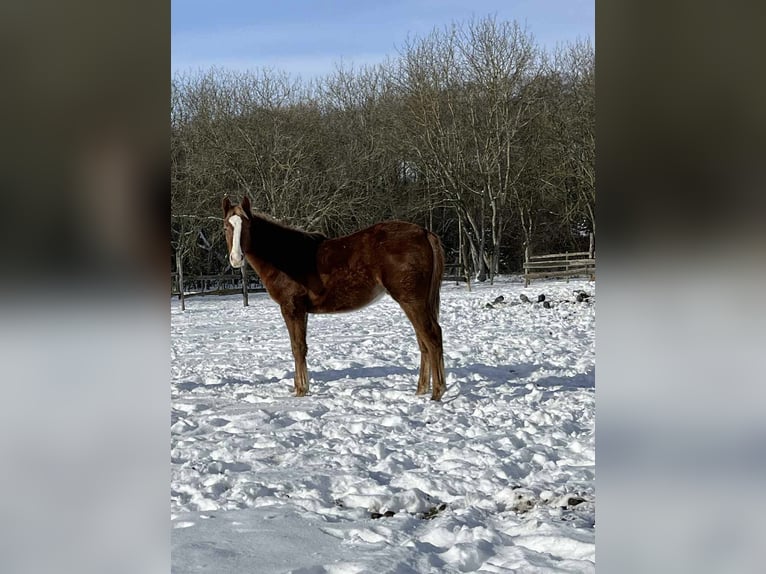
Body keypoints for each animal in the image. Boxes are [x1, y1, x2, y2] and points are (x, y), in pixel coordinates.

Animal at [222, 196, 446, 401]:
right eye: (226, 227)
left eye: (247, 226)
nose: (236, 258)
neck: (285, 257)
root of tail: (424, 233)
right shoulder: (303, 311)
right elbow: (302, 347)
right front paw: (301, 387)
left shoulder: (291, 307)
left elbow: (297, 347)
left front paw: (301, 390)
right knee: (423, 341)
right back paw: (421, 390)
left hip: (412, 301)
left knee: (432, 336)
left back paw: (437, 392)